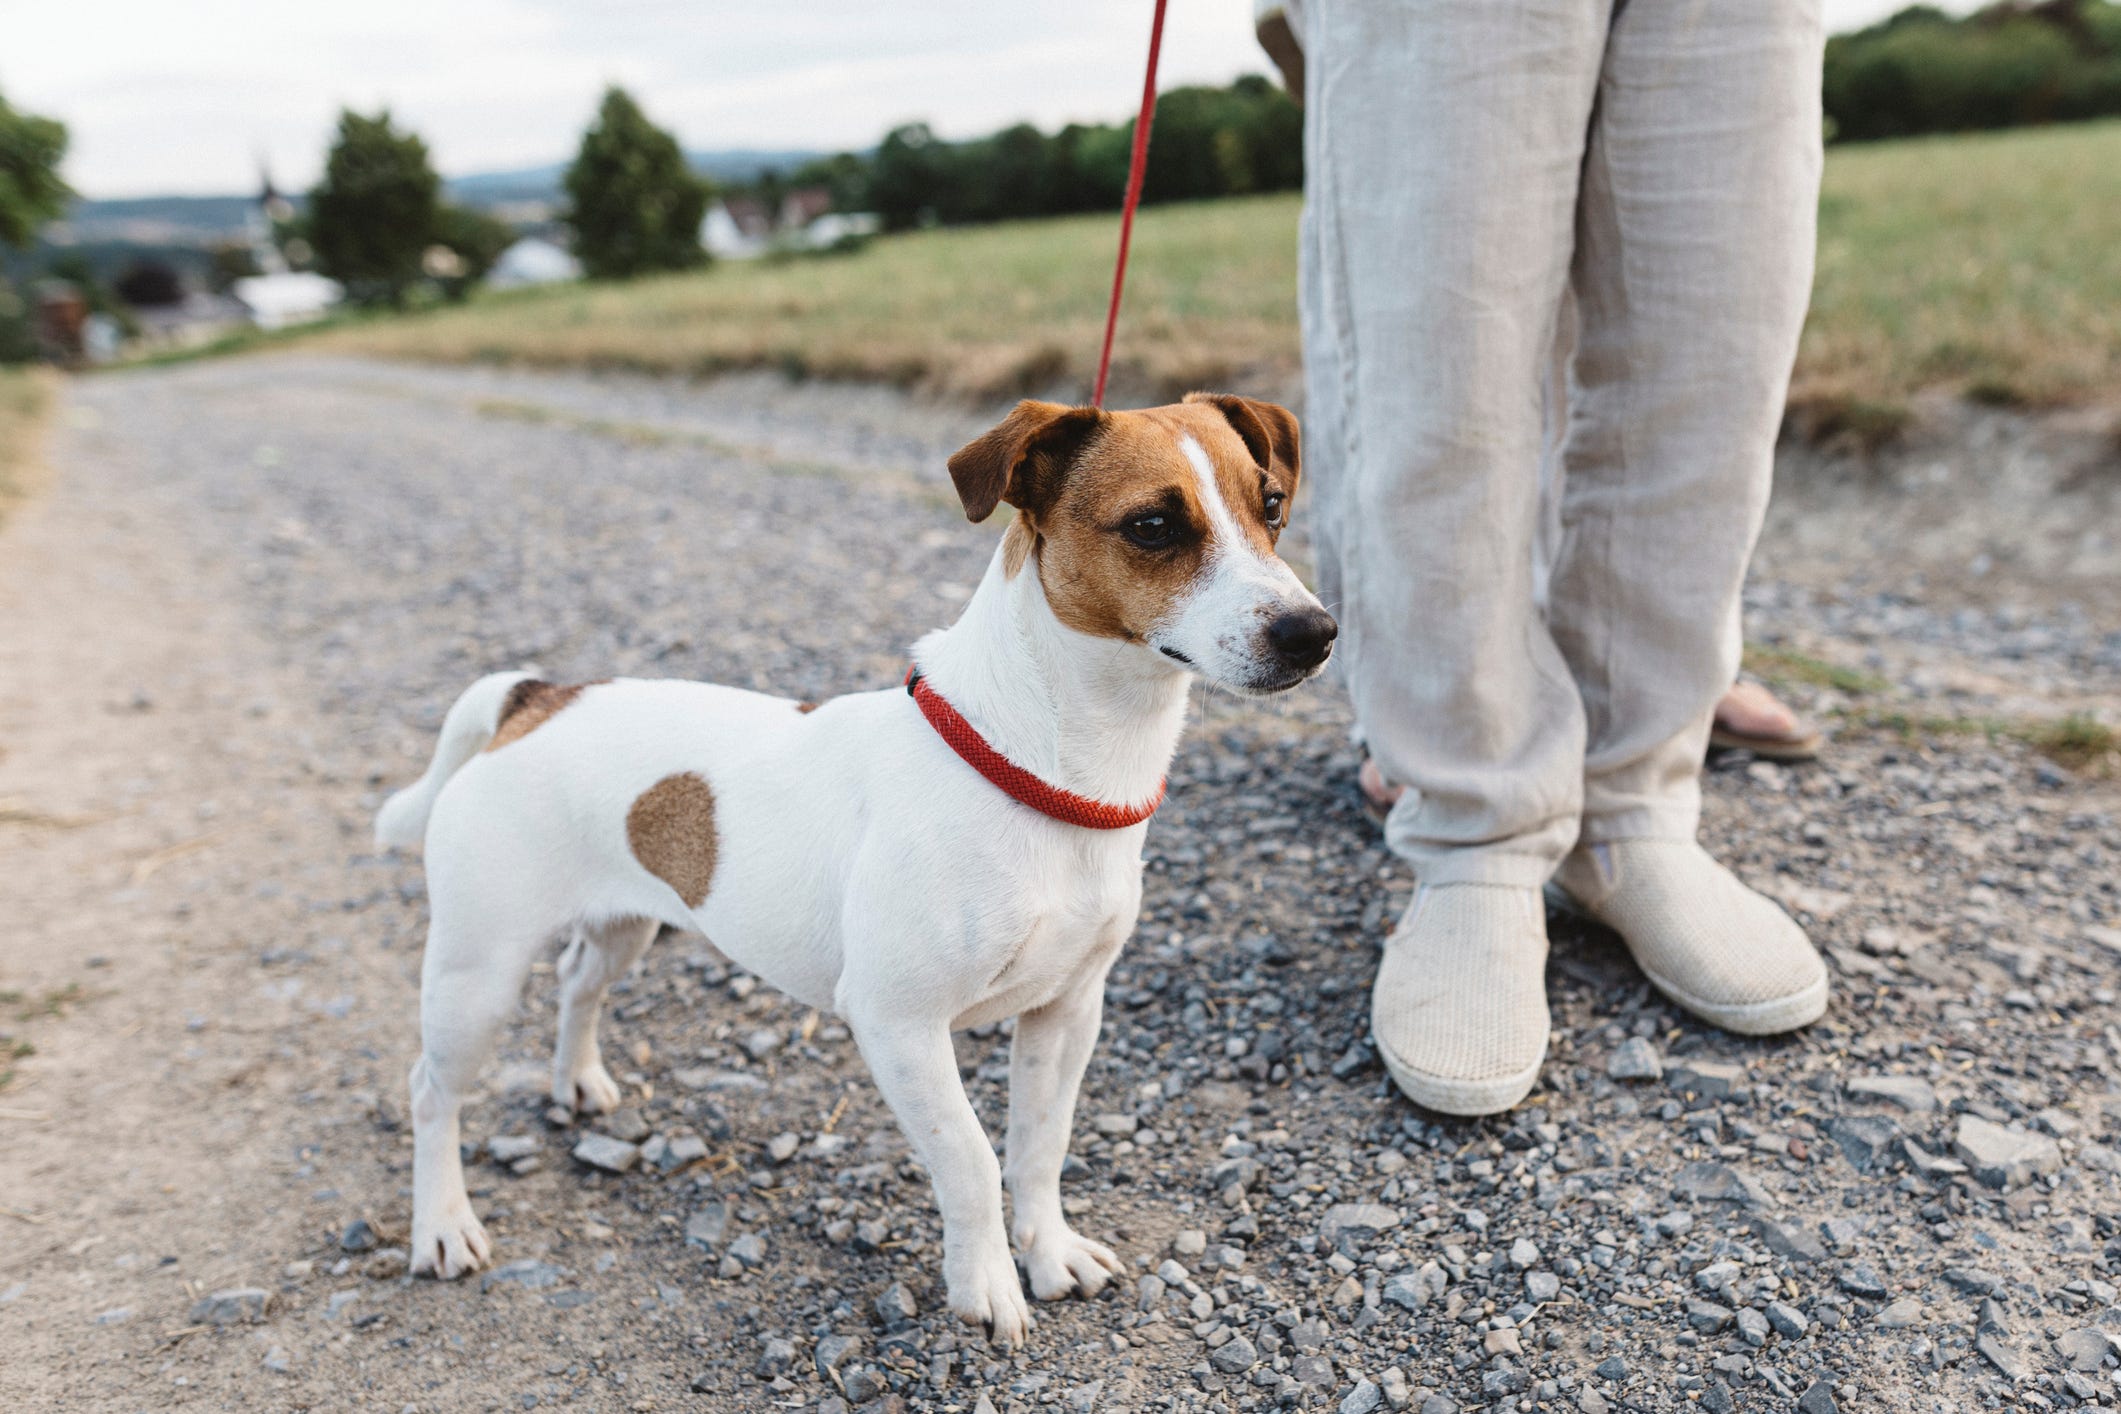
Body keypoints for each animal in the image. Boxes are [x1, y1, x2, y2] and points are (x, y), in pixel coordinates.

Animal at [373, 392, 1331, 1348]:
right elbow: (971, 1158)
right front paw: (986, 1285)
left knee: (578, 983)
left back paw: (576, 1082)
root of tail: (536, 698)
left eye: (1272, 505)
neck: (1042, 765)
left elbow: (1039, 1146)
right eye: (1153, 526)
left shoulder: (1067, 1011)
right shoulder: (898, 1024)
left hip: (625, 927)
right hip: (477, 976)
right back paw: (443, 1226)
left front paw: (1049, 1252)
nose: (1314, 633)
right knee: (429, 1091)